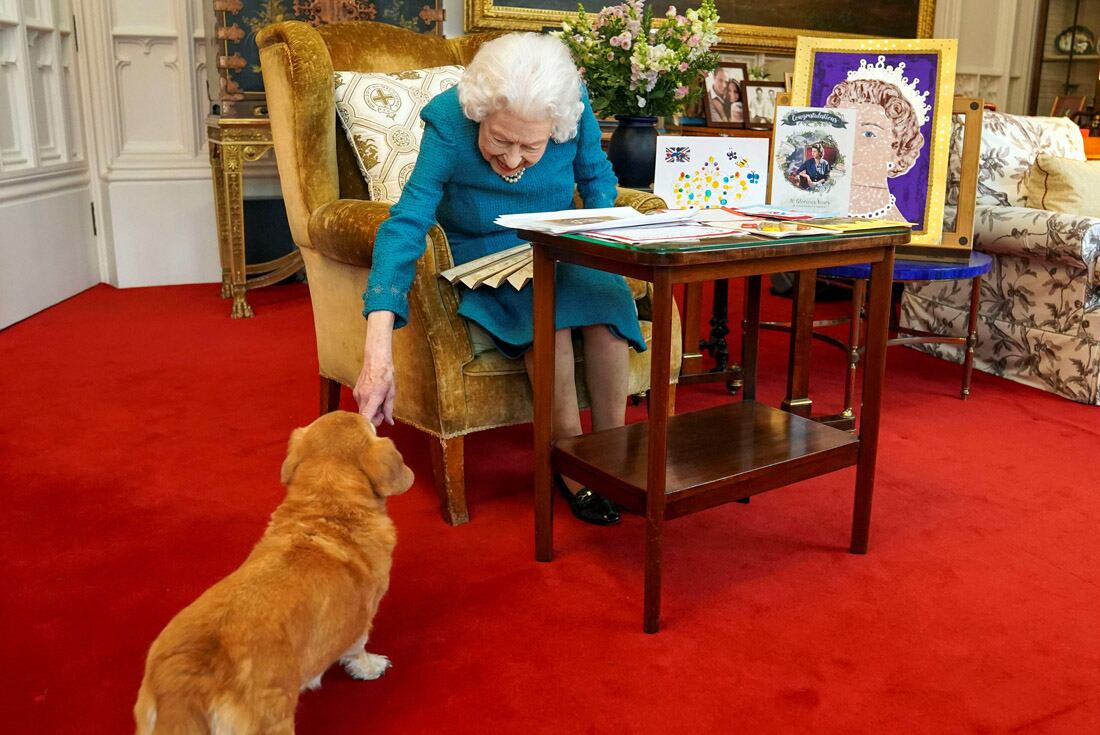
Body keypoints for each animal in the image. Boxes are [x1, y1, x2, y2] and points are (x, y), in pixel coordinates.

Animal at [133, 411, 413, 730]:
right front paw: (370, 666)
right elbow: (358, 648)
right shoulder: (362, 618)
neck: (326, 507)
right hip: (275, 721)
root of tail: (187, 688)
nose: (369, 412)